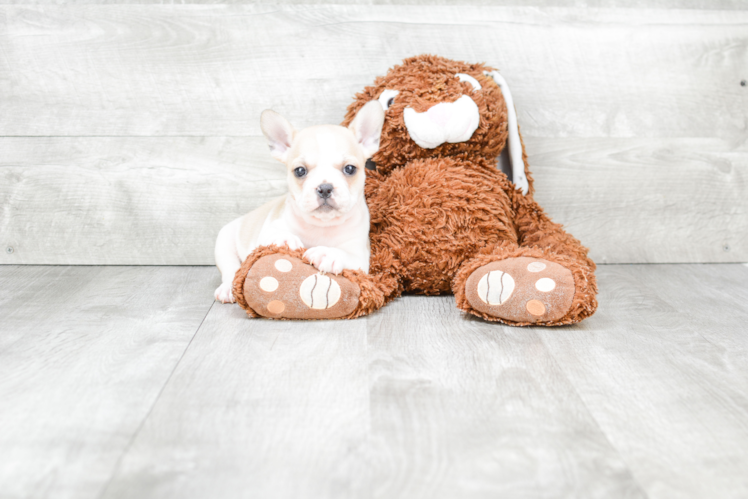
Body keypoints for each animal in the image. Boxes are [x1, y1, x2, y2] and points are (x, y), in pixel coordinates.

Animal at [212, 101, 382, 302]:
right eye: (300, 171)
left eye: (350, 169)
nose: (325, 187)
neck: (322, 225)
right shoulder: (269, 228)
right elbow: (272, 234)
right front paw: (285, 239)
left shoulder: (359, 255)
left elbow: (346, 254)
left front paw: (326, 252)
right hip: (224, 242)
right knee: (231, 268)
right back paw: (228, 288)